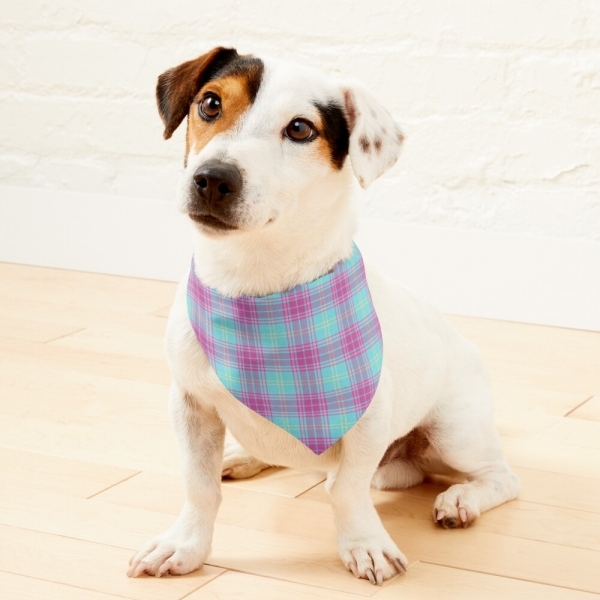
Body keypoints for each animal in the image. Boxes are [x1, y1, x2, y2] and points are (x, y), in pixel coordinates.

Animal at [127, 48, 520, 584]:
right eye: (210, 103)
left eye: (300, 129)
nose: (212, 178)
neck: (255, 285)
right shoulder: (190, 405)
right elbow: (199, 486)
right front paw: (185, 545)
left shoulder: (368, 419)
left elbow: (347, 490)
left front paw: (364, 544)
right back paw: (244, 456)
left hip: (456, 431)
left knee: (500, 477)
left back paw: (462, 499)